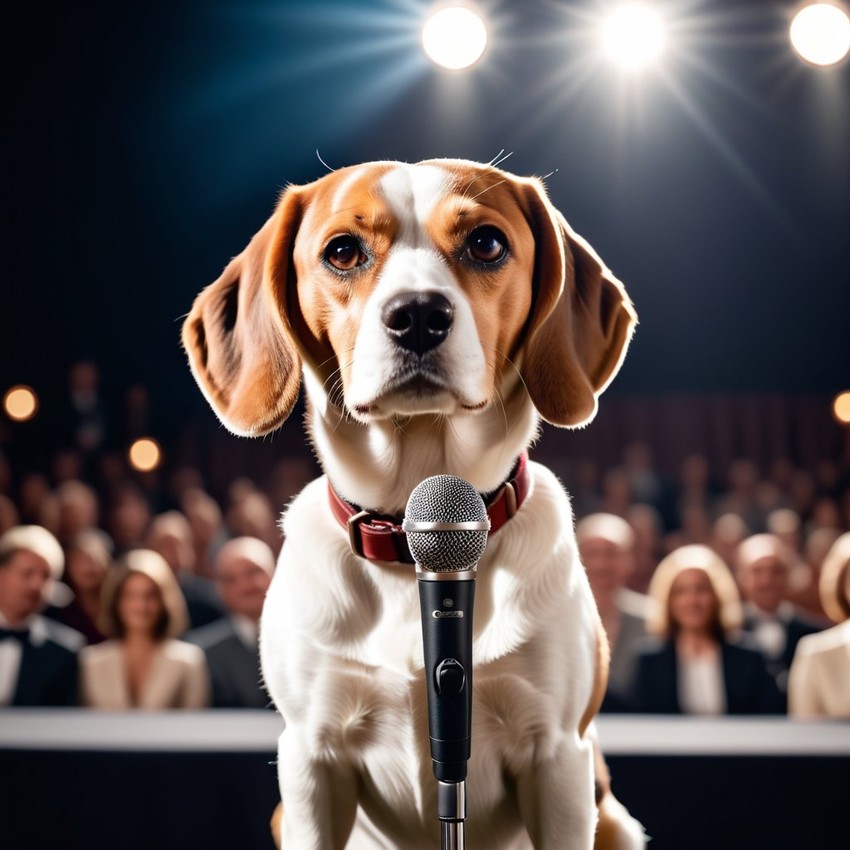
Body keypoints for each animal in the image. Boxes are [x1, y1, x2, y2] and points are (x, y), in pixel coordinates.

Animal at [179, 161, 644, 848]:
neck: (408, 532)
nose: (418, 314)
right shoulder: (311, 764)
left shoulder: (558, 759)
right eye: (342, 251)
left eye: (486, 243)